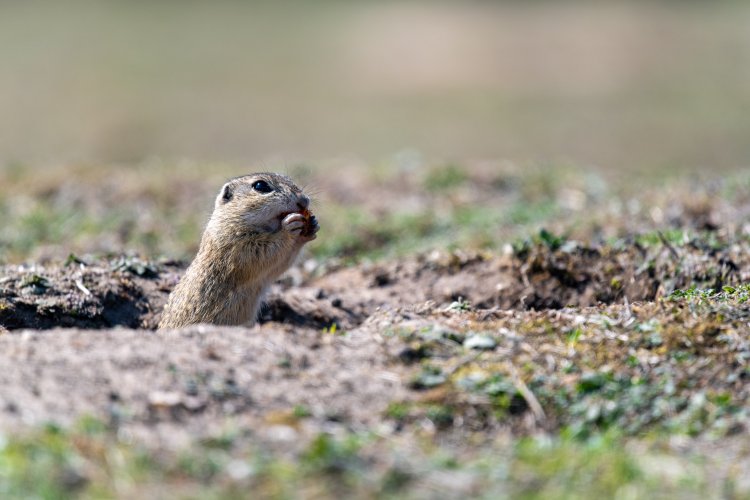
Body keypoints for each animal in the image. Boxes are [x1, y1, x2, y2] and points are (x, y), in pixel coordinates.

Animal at [160, 174, 318, 330]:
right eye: (260, 186)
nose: (304, 200)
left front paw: (312, 226)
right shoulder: (237, 245)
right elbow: (265, 252)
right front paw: (289, 227)